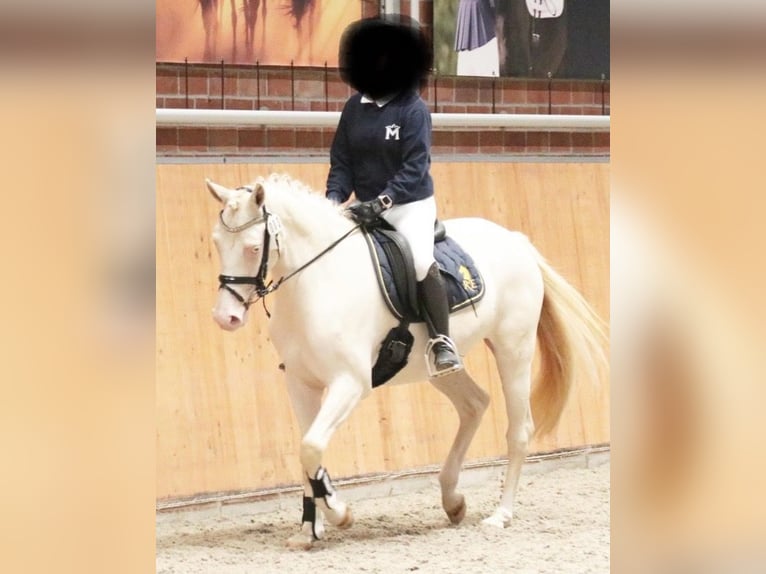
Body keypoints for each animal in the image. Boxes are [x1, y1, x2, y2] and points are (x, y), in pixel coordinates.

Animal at [207, 173, 608, 552]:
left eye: (253, 247)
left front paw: (339, 512)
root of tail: (515, 240)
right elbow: (306, 450)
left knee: (519, 429)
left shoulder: (350, 382)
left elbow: (311, 447)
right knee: (474, 404)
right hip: (439, 366)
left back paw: (500, 514)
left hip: (514, 350)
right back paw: (453, 500)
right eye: (216, 242)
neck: (318, 281)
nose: (226, 318)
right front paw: (309, 530)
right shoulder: (301, 384)